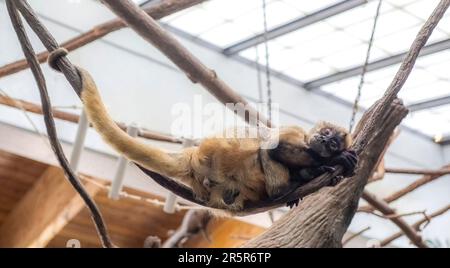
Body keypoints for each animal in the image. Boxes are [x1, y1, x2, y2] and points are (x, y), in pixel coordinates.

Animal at [78, 68, 358, 214]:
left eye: (332, 141)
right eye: (325, 134)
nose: (325, 142)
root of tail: (196, 154)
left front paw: (327, 164)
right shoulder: (295, 130)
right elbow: (273, 147)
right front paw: (332, 161)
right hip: (225, 152)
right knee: (259, 147)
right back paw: (287, 187)